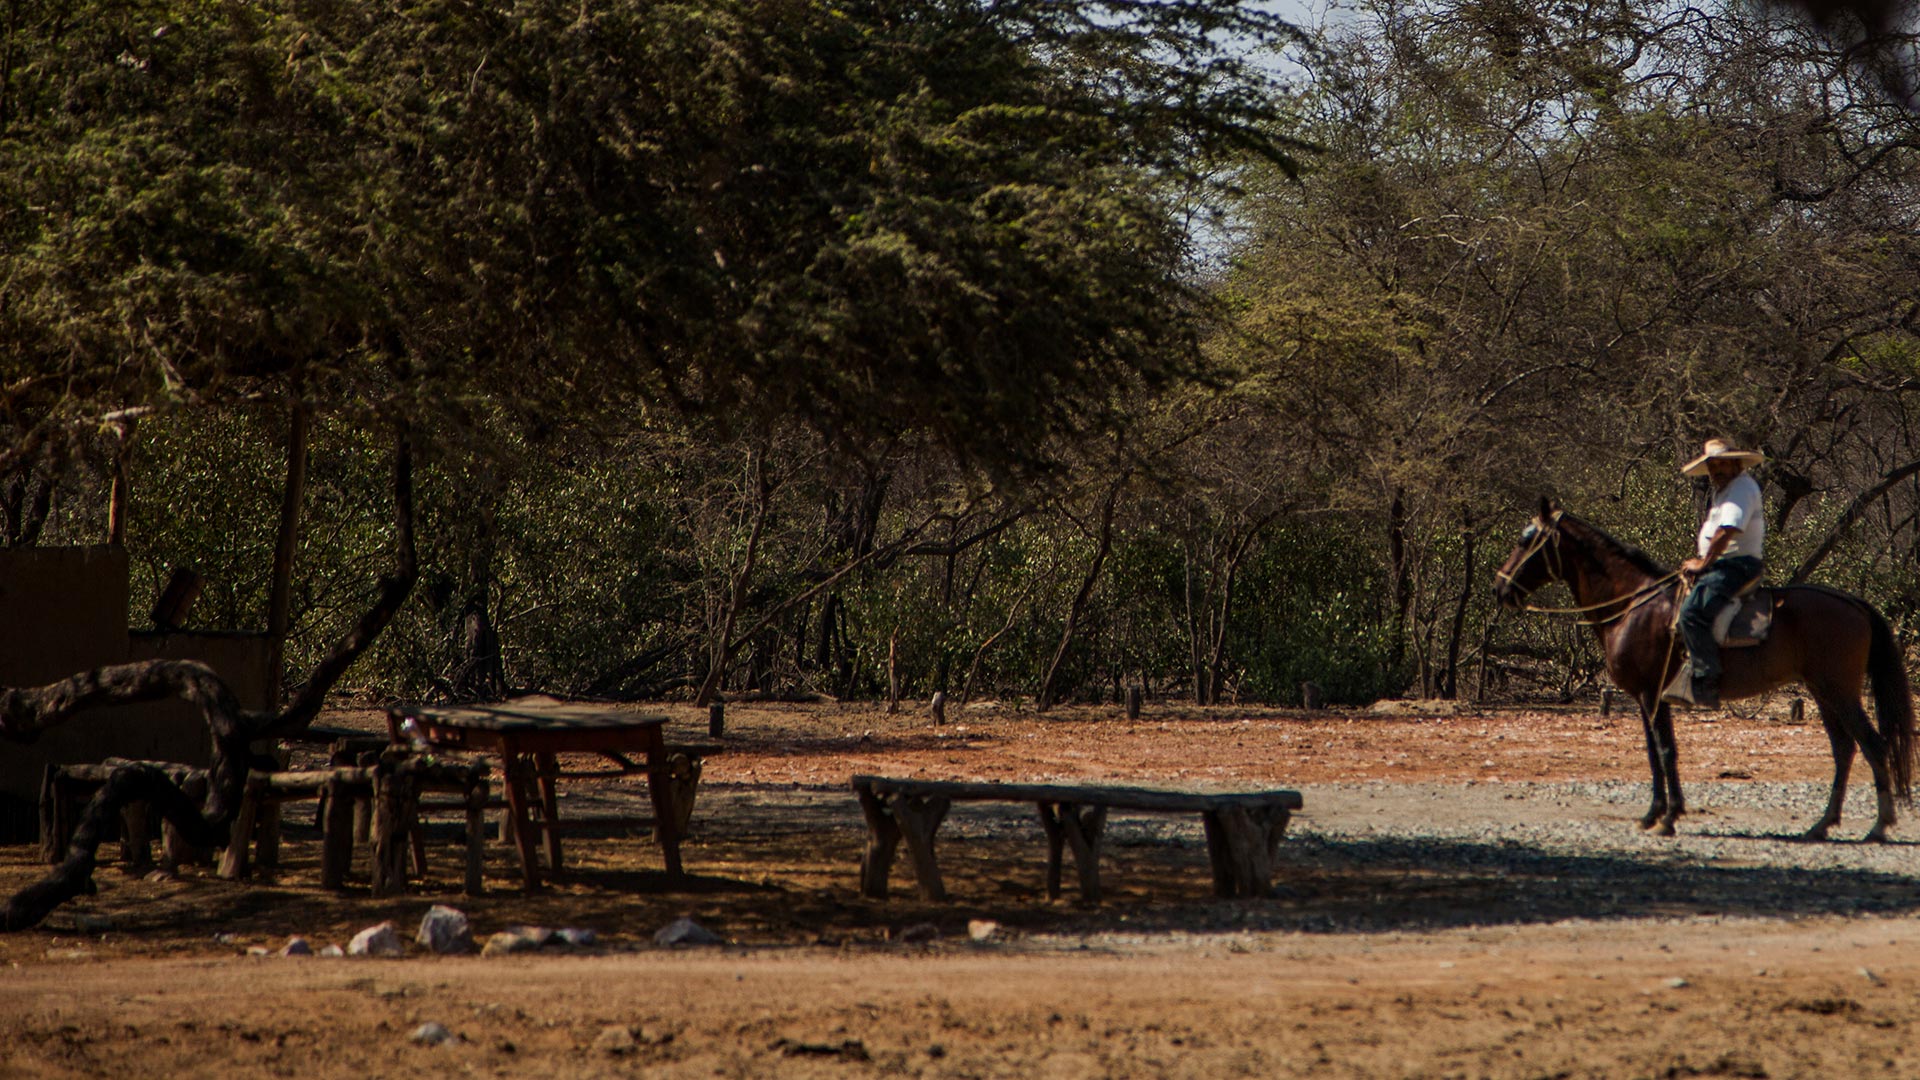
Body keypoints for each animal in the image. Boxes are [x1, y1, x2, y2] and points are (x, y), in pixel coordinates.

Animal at [1489, 495, 1912, 841]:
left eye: (1526, 539)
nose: (1499, 589)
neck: (1633, 606)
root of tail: (1854, 604)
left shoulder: (1650, 694)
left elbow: (1663, 751)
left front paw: (1666, 817)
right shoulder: (1648, 698)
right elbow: (1657, 752)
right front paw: (1657, 814)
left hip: (1839, 691)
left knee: (1873, 744)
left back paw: (1879, 826)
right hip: (1823, 693)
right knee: (1844, 750)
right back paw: (1822, 825)